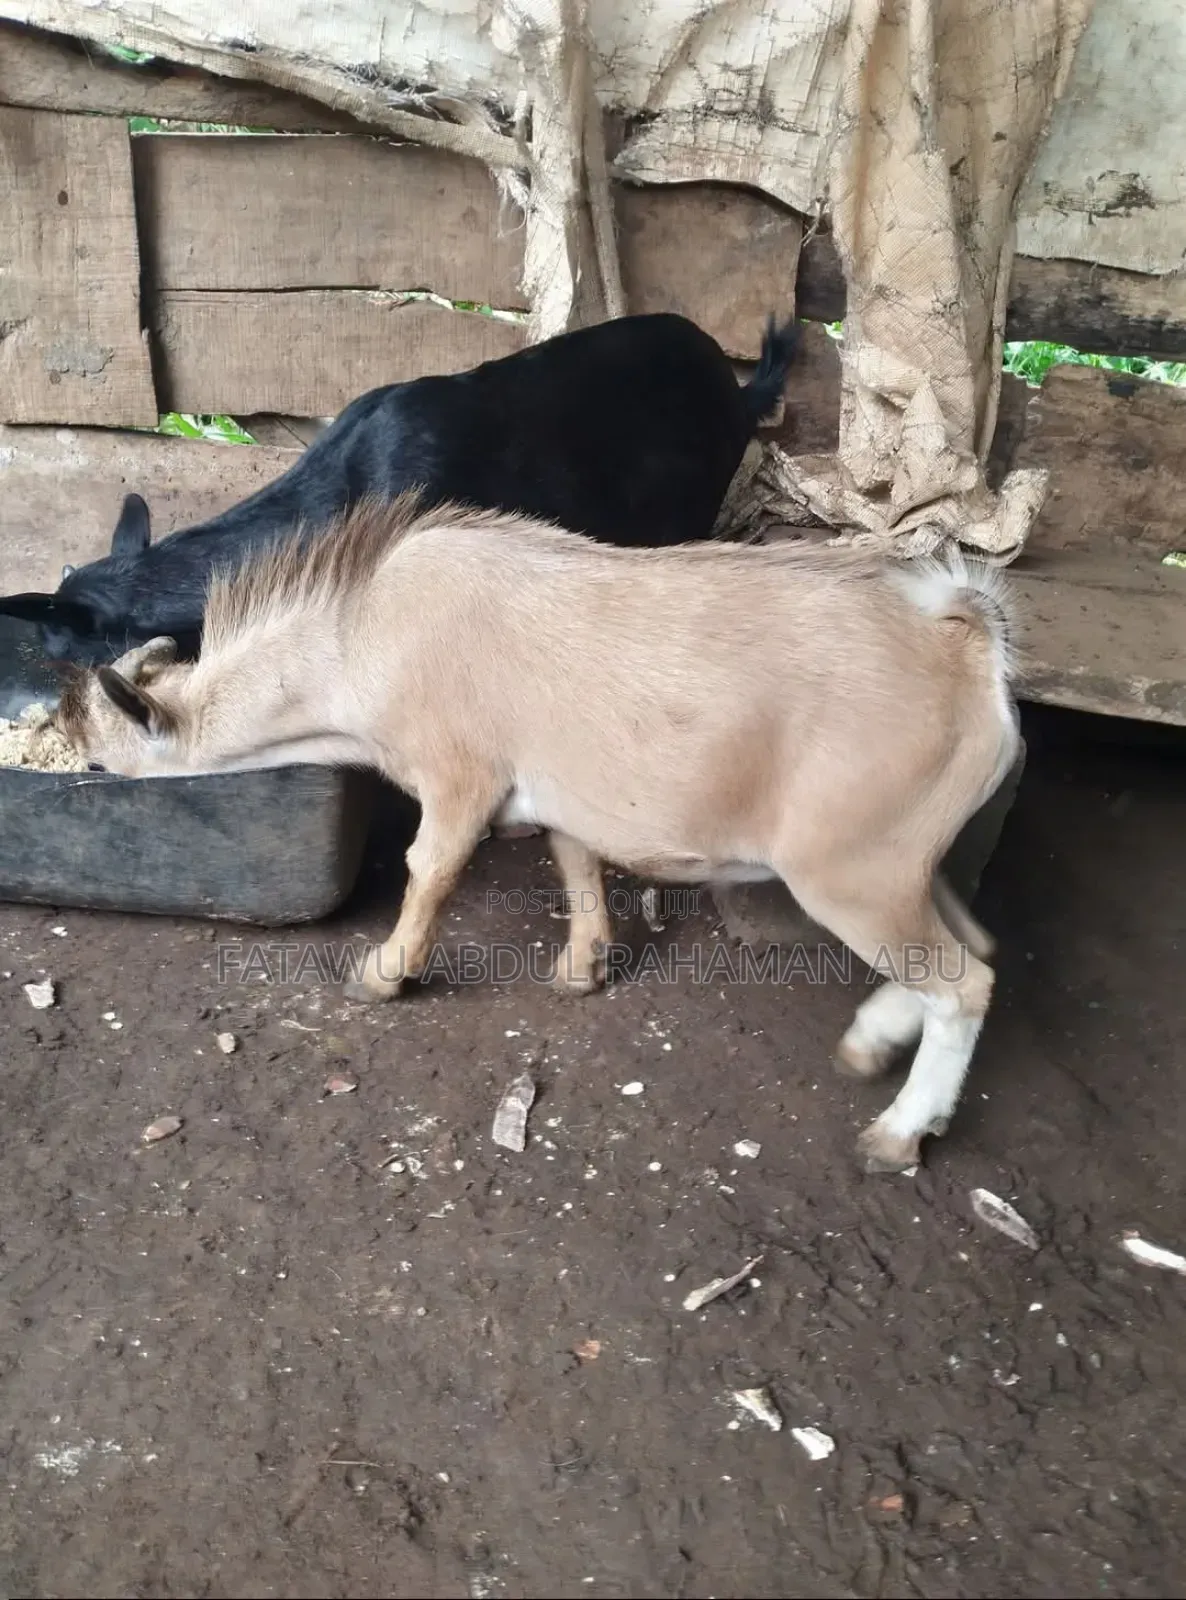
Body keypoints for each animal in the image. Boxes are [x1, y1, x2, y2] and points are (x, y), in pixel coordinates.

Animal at [58, 492, 1020, 1173]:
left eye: (100, 764)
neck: (365, 634)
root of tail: (960, 644)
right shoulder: (558, 793)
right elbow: (575, 861)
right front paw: (581, 966)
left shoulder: (458, 776)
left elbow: (431, 866)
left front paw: (384, 974)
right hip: (911, 863)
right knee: (976, 946)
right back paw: (873, 1041)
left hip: (851, 872)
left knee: (963, 982)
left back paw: (899, 1132)